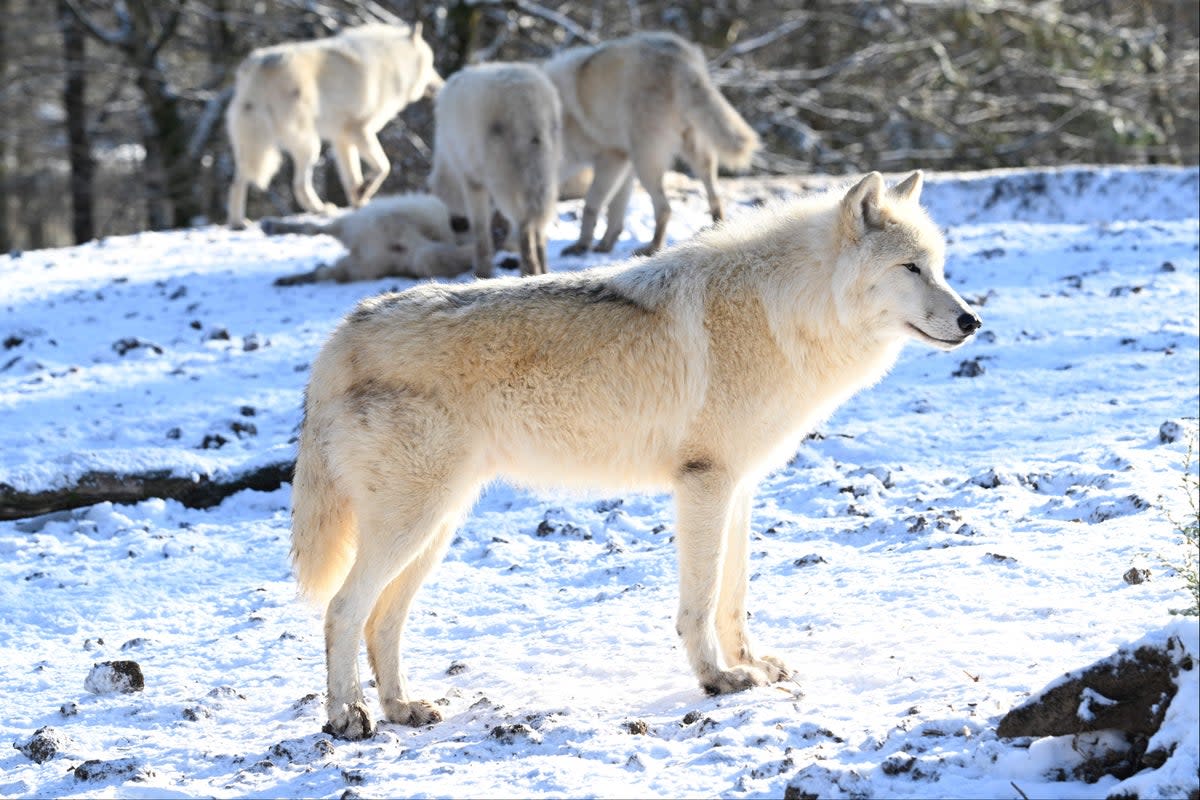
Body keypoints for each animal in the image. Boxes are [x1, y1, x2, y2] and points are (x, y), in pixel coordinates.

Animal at [224, 23, 441, 230]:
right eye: (432, 64)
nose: (441, 84)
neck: (394, 59)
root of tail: (261, 65)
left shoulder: (341, 139)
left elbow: (352, 178)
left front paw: (359, 202)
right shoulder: (358, 130)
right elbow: (383, 166)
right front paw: (364, 191)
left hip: (252, 145)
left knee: (237, 182)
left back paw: (238, 222)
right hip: (310, 145)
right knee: (298, 185)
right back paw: (321, 209)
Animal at [432, 61, 561, 278]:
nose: (454, 223)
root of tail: (527, 99)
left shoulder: (470, 179)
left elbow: (480, 228)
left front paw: (482, 273)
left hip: (504, 181)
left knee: (523, 224)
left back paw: (528, 272)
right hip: (546, 174)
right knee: (539, 224)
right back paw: (543, 272)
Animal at [547, 30, 758, 256]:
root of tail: (676, 54)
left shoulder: (613, 157)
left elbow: (591, 205)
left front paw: (581, 246)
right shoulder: (625, 163)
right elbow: (616, 210)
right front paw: (605, 245)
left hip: (646, 160)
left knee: (665, 208)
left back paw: (653, 248)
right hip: (688, 151)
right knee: (713, 191)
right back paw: (717, 229)